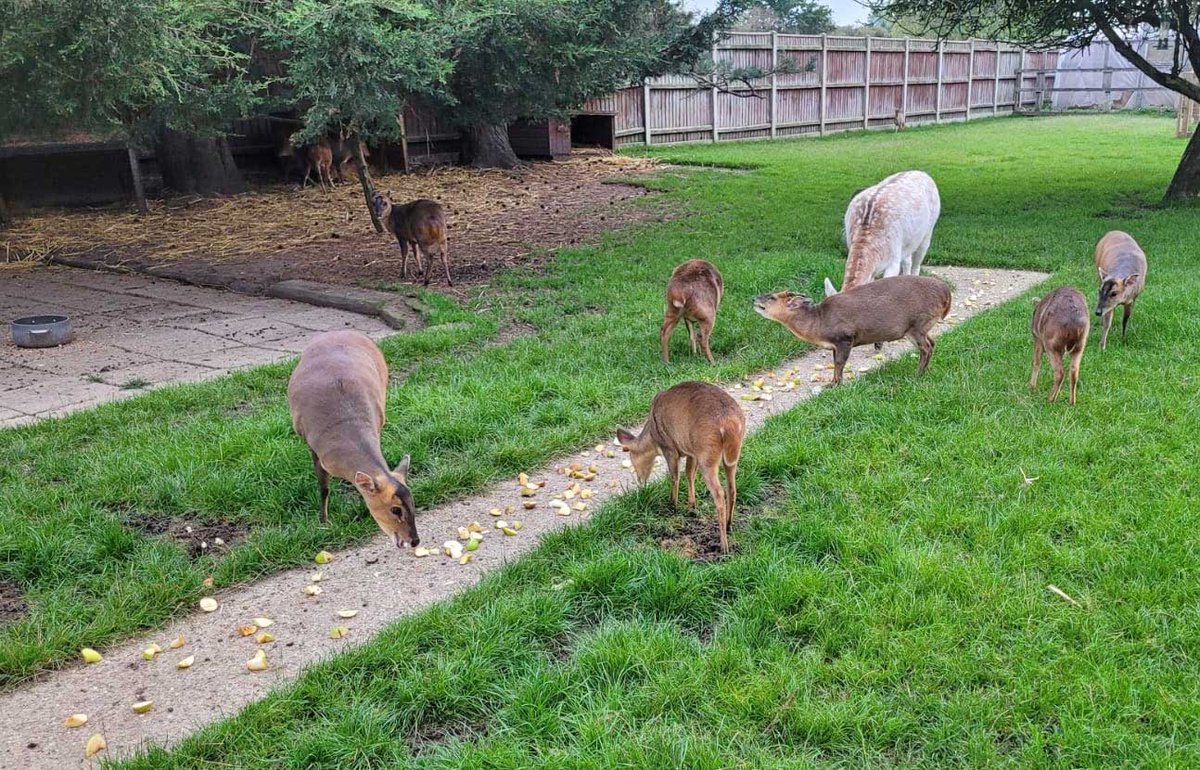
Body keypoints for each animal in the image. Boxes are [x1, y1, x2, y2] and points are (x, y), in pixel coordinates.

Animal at [287, 330, 419, 548]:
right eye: (395, 509)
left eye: (413, 502)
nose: (414, 540)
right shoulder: (311, 443)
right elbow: (323, 488)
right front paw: (324, 523)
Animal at [617, 381, 746, 554]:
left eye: (631, 457)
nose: (640, 480)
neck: (653, 437)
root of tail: (730, 423)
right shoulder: (691, 451)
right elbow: (689, 474)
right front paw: (692, 506)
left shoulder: (670, 448)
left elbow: (675, 476)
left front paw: (673, 506)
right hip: (730, 457)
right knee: (732, 488)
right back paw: (729, 524)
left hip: (707, 454)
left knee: (719, 493)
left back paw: (724, 546)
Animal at [755, 275, 951, 385]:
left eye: (771, 297)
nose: (754, 299)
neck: (818, 322)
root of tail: (946, 293)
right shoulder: (834, 345)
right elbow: (835, 363)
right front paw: (833, 381)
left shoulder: (844, 337)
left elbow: (840, 363)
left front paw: (834, 385)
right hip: (922, 327)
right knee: (932, 342)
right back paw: (925, 371)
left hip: (917, 324)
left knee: (926, 347)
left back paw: (917, 374)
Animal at [824, 170, 940, 299]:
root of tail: (923, 173)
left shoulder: (894, 260)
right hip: (909, 241)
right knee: (907, 260)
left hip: (929, 230)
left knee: (917, 263)